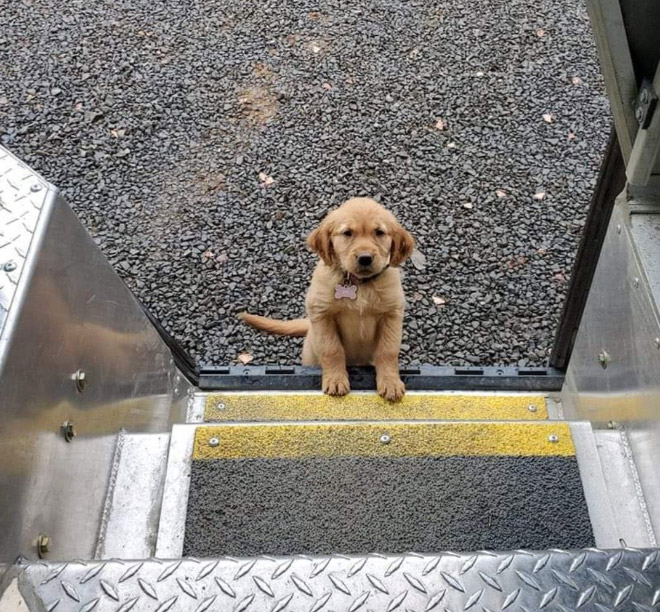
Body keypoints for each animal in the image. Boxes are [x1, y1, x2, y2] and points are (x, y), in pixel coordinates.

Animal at [240, 196, 416, 402]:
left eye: (379, 232)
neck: (359, 284)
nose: (365, 258)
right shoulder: (321, 313)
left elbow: (387, 351)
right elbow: (332, 349)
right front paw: (336, 380)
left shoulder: (392, 314)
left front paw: (390, 382)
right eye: (347, 233)